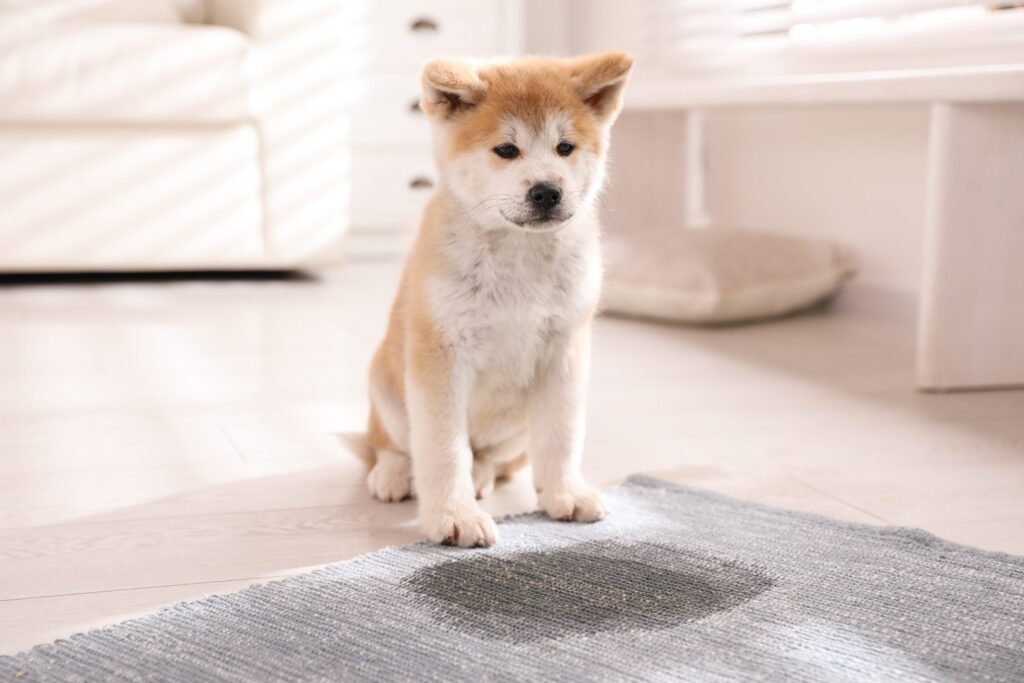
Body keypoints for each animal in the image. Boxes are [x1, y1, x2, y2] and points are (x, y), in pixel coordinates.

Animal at [344, 50, 630, 548]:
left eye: (565, 148)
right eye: (506, 150)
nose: (546, 191)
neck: (518, 255)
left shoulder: (564, 352)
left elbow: (561, 435)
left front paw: (565, 493)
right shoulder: (440, 355)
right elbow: (442, 449)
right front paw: (453, 515)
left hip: (514, 430)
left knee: (492, 458)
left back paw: (480, 475)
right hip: (387, 385)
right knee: (390, 445)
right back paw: (394, 475)